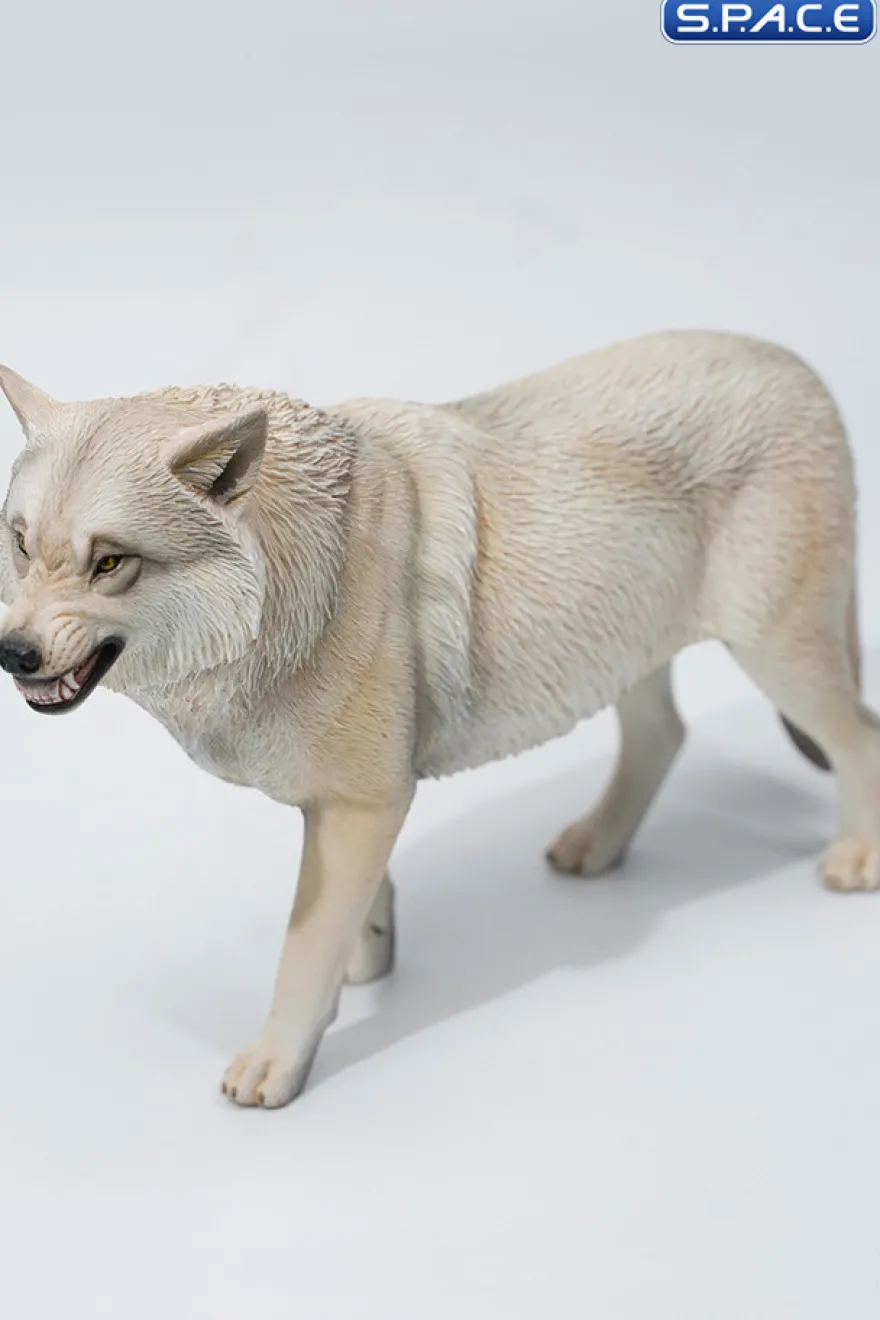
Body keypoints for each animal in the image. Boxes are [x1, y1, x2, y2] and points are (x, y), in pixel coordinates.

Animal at [0, 331, 873, 1108]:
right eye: (20, 546)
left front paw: (281, 1058)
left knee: (858, 737)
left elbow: (303, 944)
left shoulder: (363, 801)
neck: (303, 576)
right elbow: (358, 906)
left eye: (111, 562)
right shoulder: (350, 798)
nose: (12, 652)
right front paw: (371, 957)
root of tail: (798, 367)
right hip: (623, 651)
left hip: (777, 654)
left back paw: (856, 858)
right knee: (665, 736)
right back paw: (595, 846)